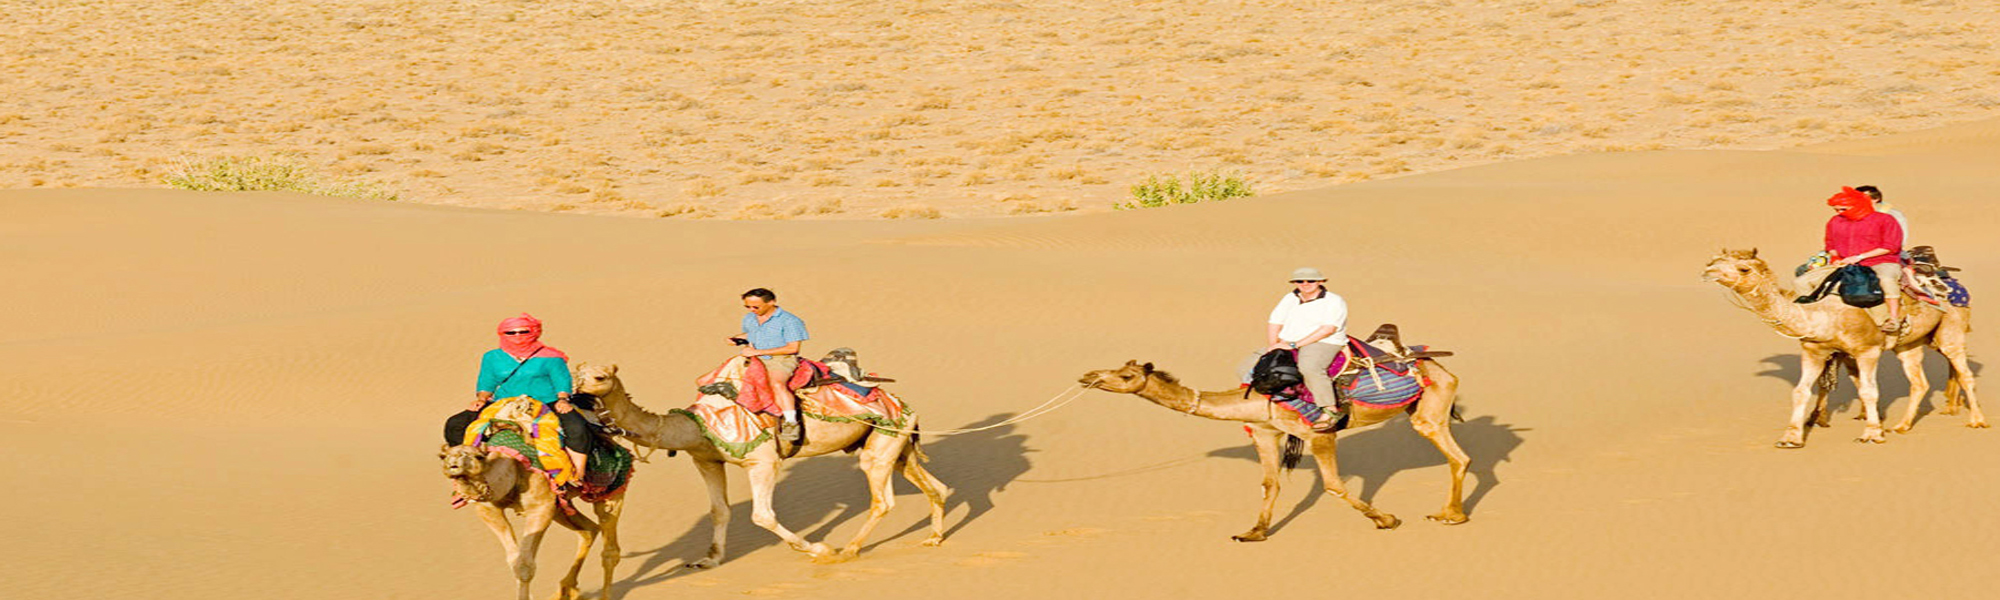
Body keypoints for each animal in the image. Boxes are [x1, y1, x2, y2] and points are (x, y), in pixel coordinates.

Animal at [440, 442, 624, 600]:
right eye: (443, 456)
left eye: (479, 456)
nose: (454, 464)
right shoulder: (488, 509)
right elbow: (515, 562)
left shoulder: (540, 506)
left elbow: (525, 566)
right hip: (561, 507)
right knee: (589, 530)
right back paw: (565, 590)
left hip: (611, 490)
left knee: (609, 547)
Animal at [572, 362, 950, 565]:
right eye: (575, 373)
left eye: (600, 377)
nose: (575, 395)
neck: (698, 425)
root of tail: (902, 403)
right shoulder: (706, 460)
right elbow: (719, 511)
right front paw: (709, 559)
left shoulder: (763, 462)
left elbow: (762, 515)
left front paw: (818, 548)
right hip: (896, 443)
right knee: (935, 486)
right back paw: (933, 538)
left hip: (883, 440)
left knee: (882, 499)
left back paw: (847, 550)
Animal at [1076, 353, 1469, 542]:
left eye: (1126, 376)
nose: (1087, 376)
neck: (1258, 400)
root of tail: (1439, 365)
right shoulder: (1265, 433)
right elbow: (1270, 483)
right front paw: (1254, 532)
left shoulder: (1320, 434)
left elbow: (1333, 486)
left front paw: (1386, 519)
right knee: (1459, 457)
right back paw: (1449, 514)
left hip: (1431, 405)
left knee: (1457, 455)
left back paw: (1452, 516)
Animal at [1702, 248, 1986, 448]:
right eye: (1715, 260)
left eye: (1743, 268)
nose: (1707, 271)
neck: (1823, 315)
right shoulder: (1814, 351)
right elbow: (1800, 391)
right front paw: (1791, 438)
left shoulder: (1867, 350)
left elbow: (1869, 391)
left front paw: (1871, 434)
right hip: (1909, 343)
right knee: (1919, 382)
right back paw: (1902, 426)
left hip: (1952, 326)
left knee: (1964, 371)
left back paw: (1977, 421)